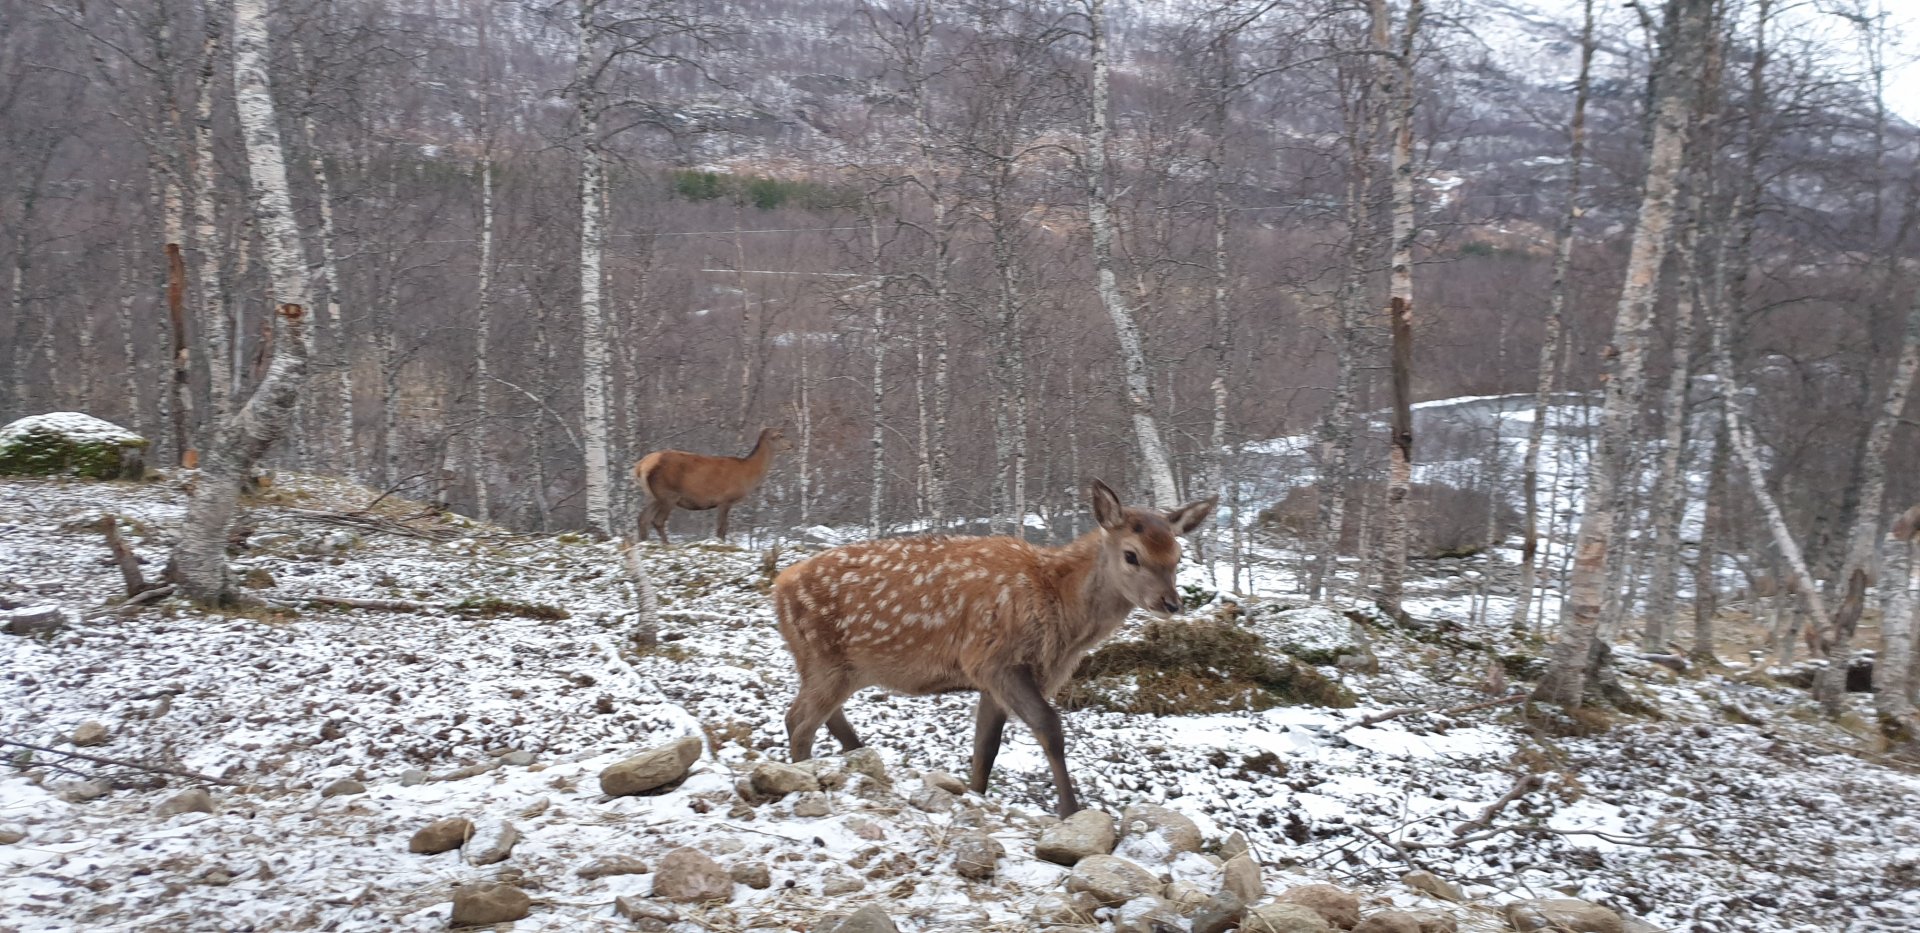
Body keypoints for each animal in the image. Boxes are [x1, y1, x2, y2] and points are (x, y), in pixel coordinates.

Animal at [633, 427, 793, 545]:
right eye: (780, 435)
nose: (791, 445)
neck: (748, 474)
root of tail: (641, 466)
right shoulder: (726, 499)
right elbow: (721, 528)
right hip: (668, 494)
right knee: (657, 520)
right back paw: (667, 544)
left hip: (653, 496)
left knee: (642, 518)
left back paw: (643, 543)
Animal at [771, 479, 1216, 817]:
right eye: (1131, 555)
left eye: (1177, 555)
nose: (1171, 603)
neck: (1062, 615)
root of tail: (779, 586)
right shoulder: (996, 658)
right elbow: (1050, 728)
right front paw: (1069, 810)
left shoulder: (992, 677)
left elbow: (985, 748)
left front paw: (976, 795)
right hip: (824, 657)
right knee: (799, 720)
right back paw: (803, 775)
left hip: (837, 666)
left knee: (824, 717)